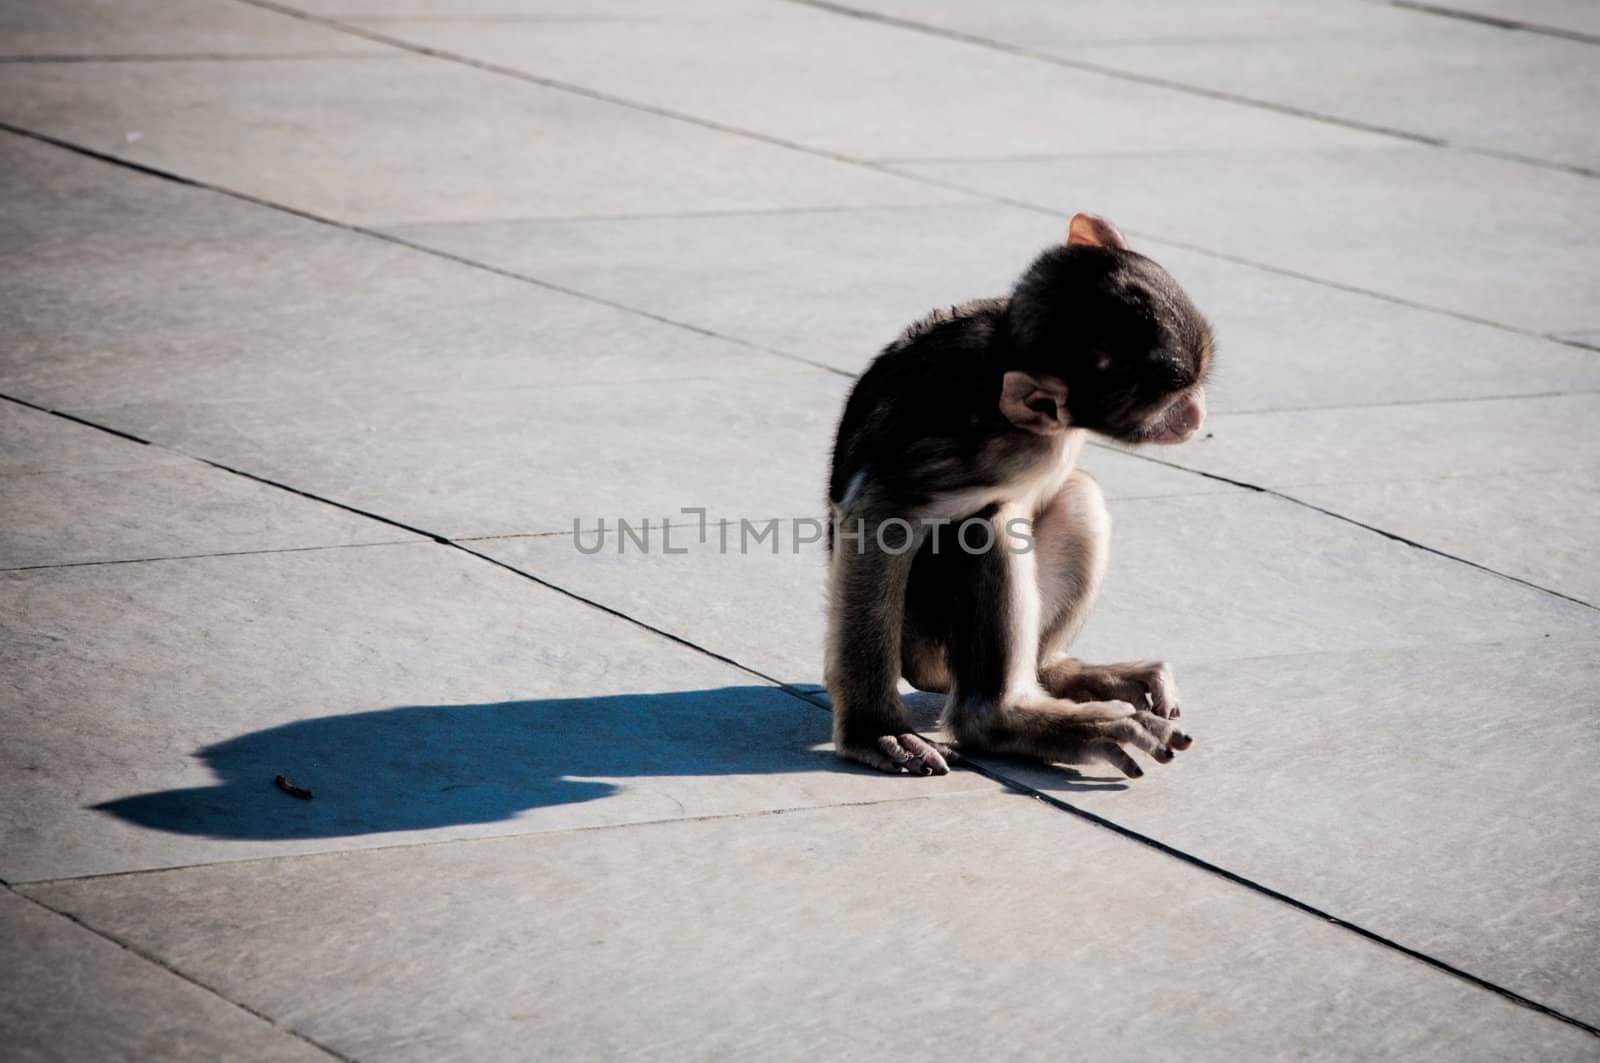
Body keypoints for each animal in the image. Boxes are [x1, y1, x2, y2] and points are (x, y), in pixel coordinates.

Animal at [832, 214, 1203, 781]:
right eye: (1166, 404)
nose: (1196, 414)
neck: (1000, 352)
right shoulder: (984, 444)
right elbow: (883, 514)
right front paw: (874, 730)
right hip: (926, 646)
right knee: (989, 521)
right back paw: (1005, 718)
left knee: (1079, 495)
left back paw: (1057, 672)